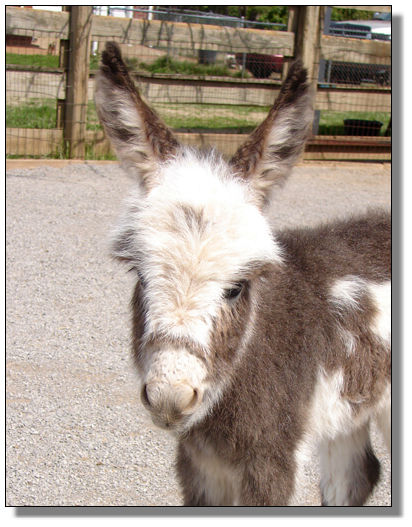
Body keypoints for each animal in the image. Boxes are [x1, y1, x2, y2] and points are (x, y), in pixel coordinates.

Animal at [95, 42, 391, 506]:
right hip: (350, 408)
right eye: (140, 275)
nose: (170, 396)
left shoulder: (271, 460)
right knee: (357, 476)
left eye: (236, 288)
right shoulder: (199, 464)